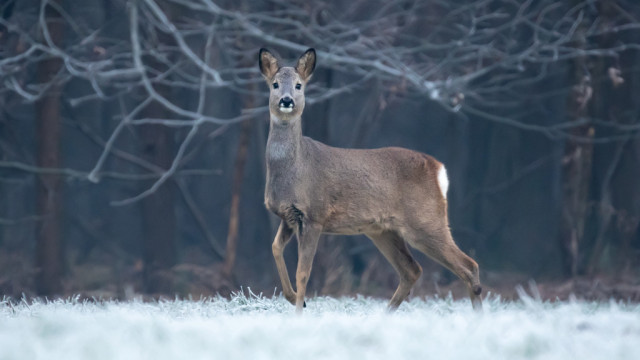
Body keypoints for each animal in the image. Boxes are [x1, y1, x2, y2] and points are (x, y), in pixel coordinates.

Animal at [258, 47, 480, 312]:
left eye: (299, 85)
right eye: (275, 84)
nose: (286, 100)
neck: (294, 169)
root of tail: (439, 170)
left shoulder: (314, 215)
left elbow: (303, 272)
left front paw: (300, 308)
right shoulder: (289, 216)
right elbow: (275, 248)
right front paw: (293, 299)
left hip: (426, 220)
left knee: (468, 265)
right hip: (382, 230)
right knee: (412, 270)